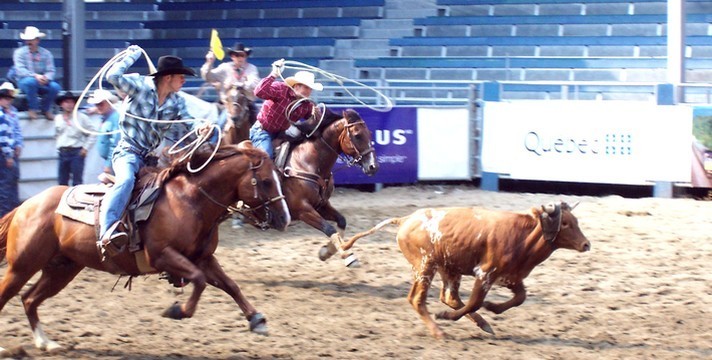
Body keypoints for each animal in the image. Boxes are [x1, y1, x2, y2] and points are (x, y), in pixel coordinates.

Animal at [0, 142, 290, 352]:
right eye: (266, 181)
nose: (285, 218)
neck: (189, 201)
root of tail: (26, 205)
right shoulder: (162, 256)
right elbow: (198, 281)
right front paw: (177, 311)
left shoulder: (204, 258)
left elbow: (230, 285)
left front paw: (257, 320)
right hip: (22, 266)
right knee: (11, 295)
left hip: (61, 269)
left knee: (29, 299)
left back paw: (45, 342)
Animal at [340, 202, 588, 340]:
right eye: (565, 223)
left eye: (576, 220)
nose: (586, 244)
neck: (521, 236)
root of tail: (406, 219)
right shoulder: (485, 273)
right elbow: (475, 302)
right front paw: (448, 317)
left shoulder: (511, 276)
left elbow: (520, 298)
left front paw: (493, 308)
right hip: (425, 266)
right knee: (417, 299)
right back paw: (440, 331)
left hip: (449, 268)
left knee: (449, 297)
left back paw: (482, 323)